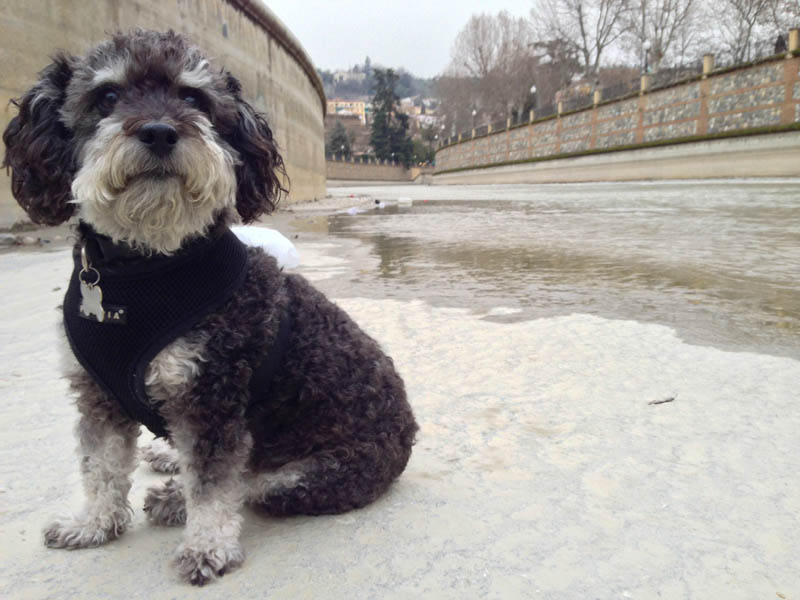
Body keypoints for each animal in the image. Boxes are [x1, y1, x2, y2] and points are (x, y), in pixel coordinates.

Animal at [2, 29, 417, 585]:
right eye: (107, 96)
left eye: (193, 98)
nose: (159, 132)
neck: (142, 269)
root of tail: (408, 428)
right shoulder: (99, 395)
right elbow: (101, 466)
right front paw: (92, 524)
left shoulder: (212, 398)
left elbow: (215, 484)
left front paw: (206, 547)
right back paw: (165, 461)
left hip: (313, 473)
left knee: (251, 481)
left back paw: (176, 496)